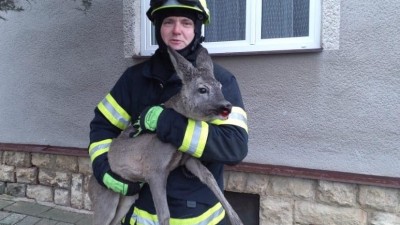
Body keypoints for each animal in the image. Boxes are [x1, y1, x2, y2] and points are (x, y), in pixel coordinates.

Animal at [88, 46, 242, 225]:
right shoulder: (155, 167)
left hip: (128, 196)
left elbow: (209, 177)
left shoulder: (187, 159)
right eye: (202, 89)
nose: (227, 106)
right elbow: (164, 214)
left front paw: (236, 218)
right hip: (106, 197)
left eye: (220, 86)